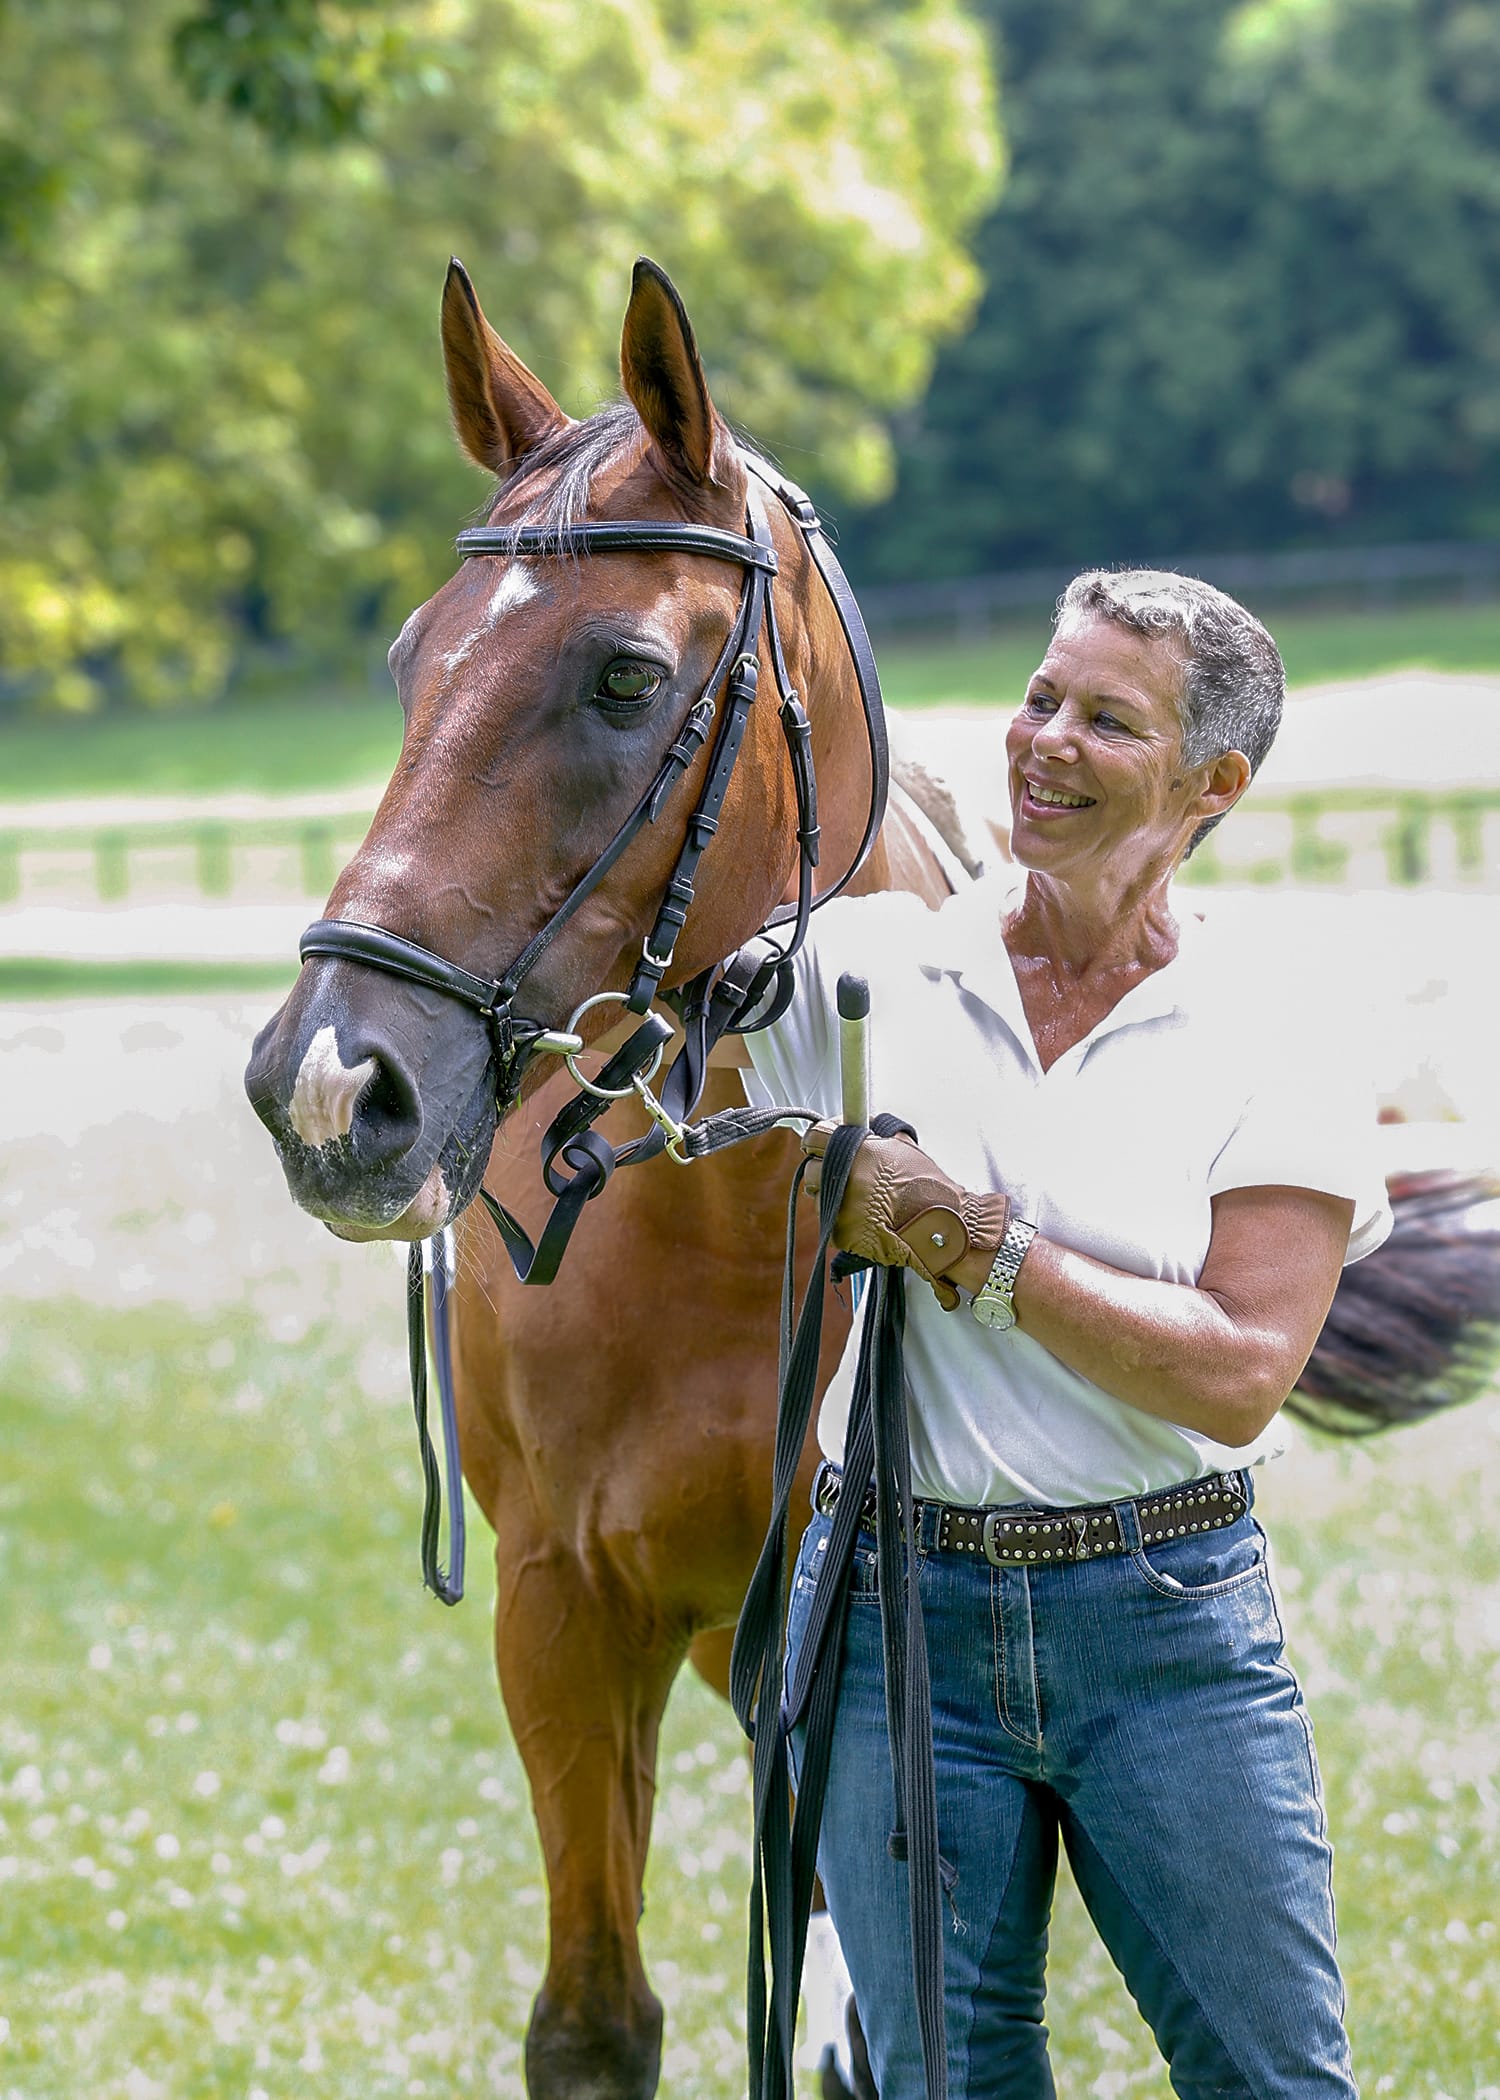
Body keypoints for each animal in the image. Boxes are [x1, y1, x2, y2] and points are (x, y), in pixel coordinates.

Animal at [245, 258, 1500, 2100]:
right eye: (413, 660)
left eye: (625, 678)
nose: (332, 1085)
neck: (703, 1229)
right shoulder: (562, 1613)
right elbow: (597, 2024)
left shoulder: (823, 1642)